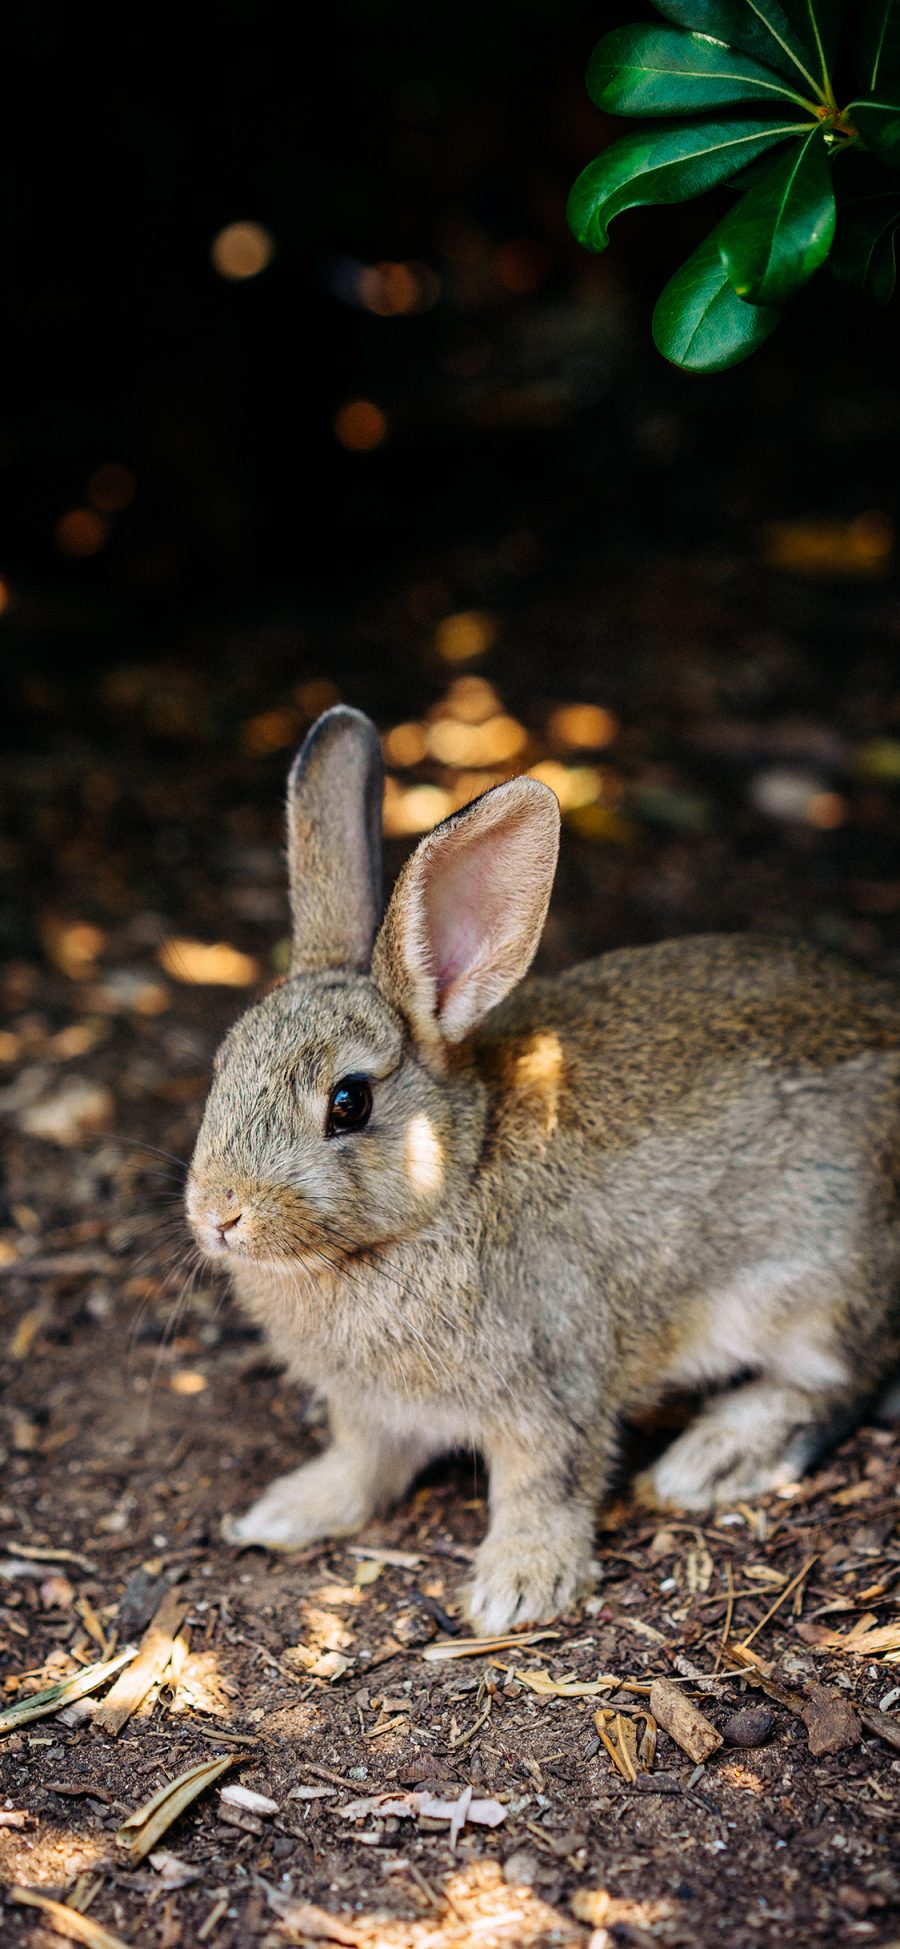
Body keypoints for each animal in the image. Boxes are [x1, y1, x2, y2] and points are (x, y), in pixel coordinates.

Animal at [186, 709, 900, 1637]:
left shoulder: (551, 1387)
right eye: (222, 1065)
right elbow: (361, 1465)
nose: (218, 1215)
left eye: (348, 1102)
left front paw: (517, 1588)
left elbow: (545, 1482)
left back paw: (715, 1456)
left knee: (846, 1377)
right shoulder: (369, 1414)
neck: (452, 1180)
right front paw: (288, 1511)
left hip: (819, 1282)